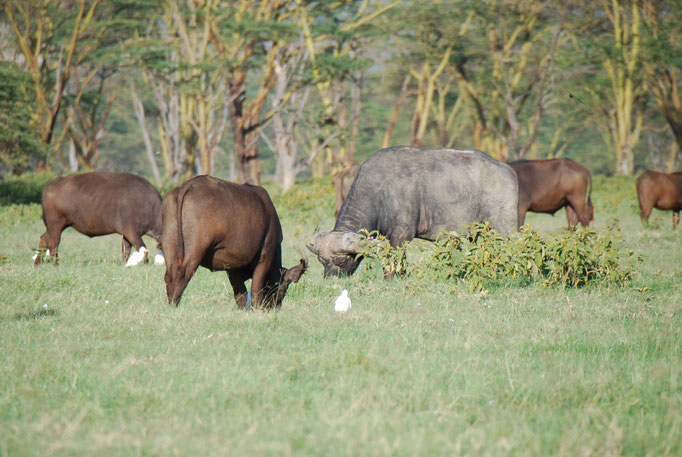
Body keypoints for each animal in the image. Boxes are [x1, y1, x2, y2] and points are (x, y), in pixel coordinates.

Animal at [34, 170, 162, 264]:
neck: (149, 205)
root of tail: (51, 185)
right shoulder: (131, 231)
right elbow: (143, 250)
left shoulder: (126, 234)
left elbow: (126, 250)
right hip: (56, 225)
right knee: (53, 243)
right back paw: (55, 264)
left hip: (54, 227)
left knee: (43, 239)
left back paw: (37, 263)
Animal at [162, 174, 306, 306]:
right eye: (283, 288)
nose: (276, 306)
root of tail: (188, 186)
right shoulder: (265, 257)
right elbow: (256, 291)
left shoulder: (232, 266)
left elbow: (240, 295)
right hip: (196, 250)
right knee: (182, 274)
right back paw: (175, 305)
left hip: (169, 245)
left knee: (169, 276)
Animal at [304, 146, 516, 276]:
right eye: (322, 261)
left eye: (341, 262)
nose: (331, 280)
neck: (381, 191)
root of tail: (507, 170)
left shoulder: (401, 234)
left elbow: (397, 260)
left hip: (505, 227)